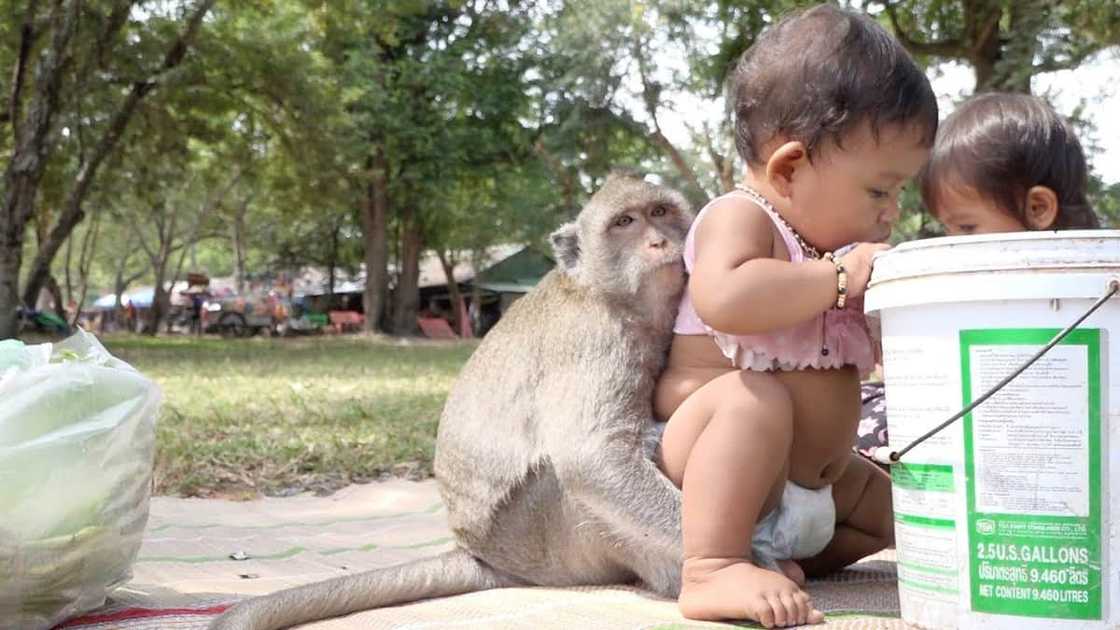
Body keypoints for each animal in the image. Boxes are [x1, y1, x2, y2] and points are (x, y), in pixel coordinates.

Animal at [210, 175, 696, 630]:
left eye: (661, 211)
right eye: (625, 222)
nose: (659, 241)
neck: (605, 294)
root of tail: (479, 553)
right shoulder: (596, 340)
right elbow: (593, 457)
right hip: (550, 539)